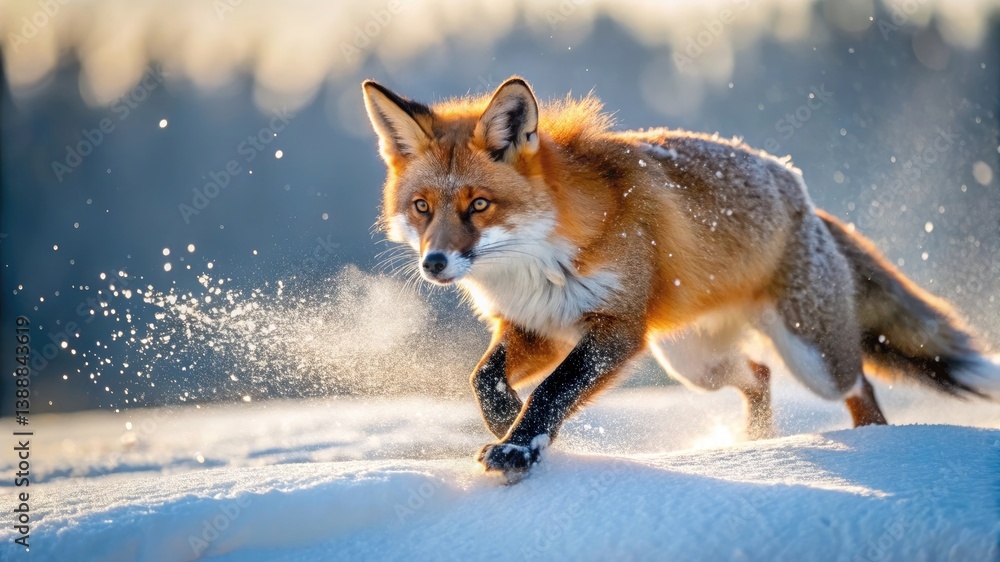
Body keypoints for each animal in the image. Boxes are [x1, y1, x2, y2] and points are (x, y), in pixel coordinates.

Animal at [362, 76, 1000, 483]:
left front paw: (519, 448)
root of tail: (801, 191)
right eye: (422, 207)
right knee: (759, 375)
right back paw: (756, 446)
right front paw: (503, 419)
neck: (539, 258)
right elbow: (483, 376)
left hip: (812, 358)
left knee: (859, 384)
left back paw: (874, 446)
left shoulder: (617, 328)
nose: (434, 264)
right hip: (695, 364)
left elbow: (553, 391)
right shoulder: (539, 326)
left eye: (479, 205)